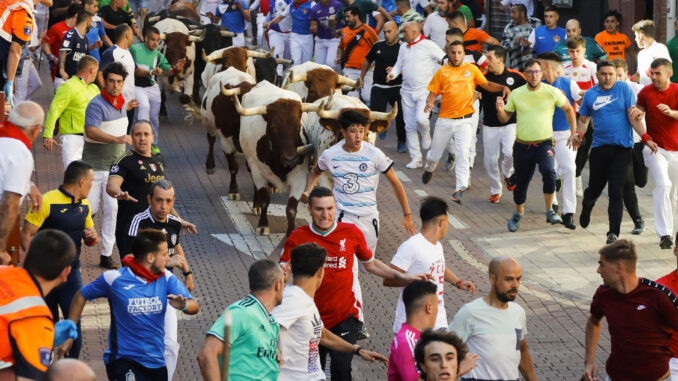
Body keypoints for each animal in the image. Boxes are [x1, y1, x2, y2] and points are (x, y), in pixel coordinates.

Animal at [234, 81, 318, 235]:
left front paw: (290, 232)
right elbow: (265, 199)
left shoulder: (300, 176)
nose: (290, 159)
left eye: (298, 127)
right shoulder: (257, 171)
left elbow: (291, 208)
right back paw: (256, 205)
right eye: (273, 128)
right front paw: (263, 225)